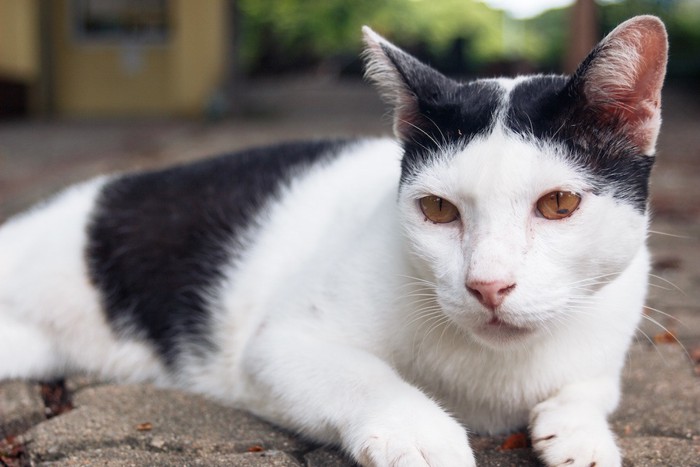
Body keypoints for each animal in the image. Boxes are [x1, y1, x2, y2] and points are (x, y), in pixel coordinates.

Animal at [0, 14, 668, 467]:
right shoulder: (277, 345)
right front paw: (420, 432)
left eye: (559, 204)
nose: (488, 285)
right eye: (438, 209)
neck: (495, 375)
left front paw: (579, 431)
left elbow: (593, 387)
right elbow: (364, 376)